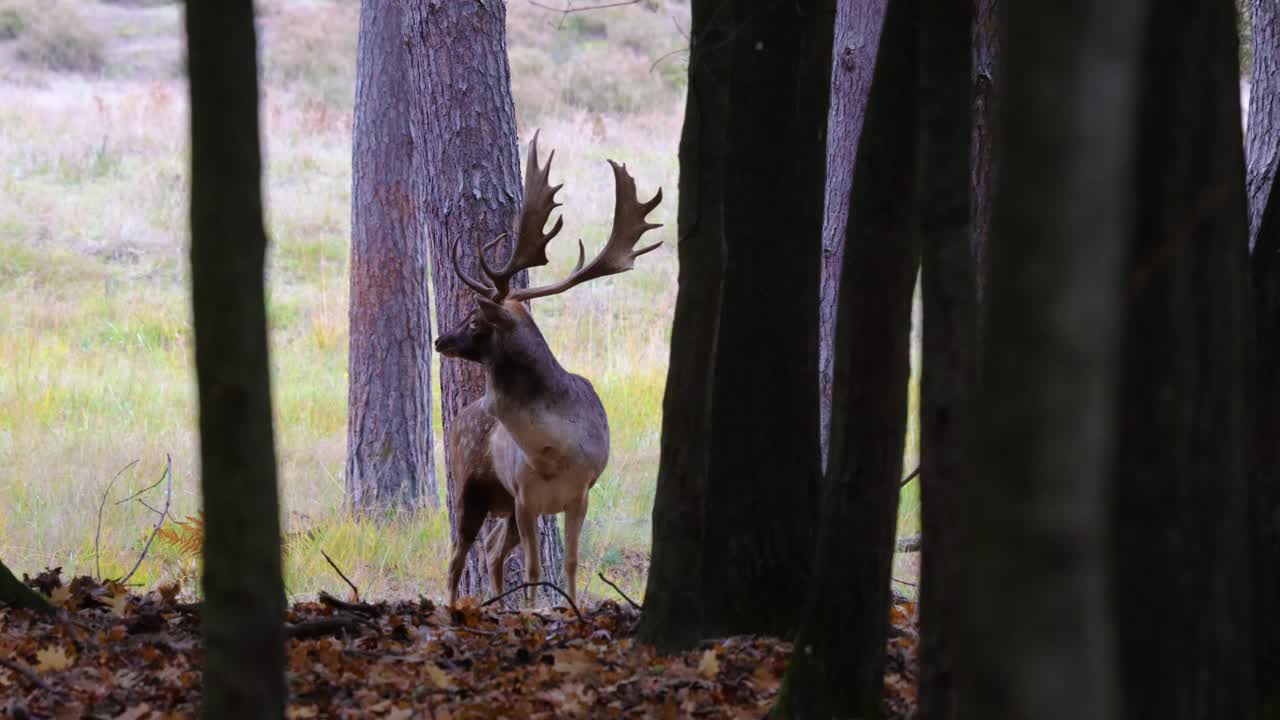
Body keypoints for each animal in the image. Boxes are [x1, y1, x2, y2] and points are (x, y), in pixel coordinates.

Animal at [435, 133, 665, 604]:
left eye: (475, 321)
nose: (439, 340)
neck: (554, 452)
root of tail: (462, 416)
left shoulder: (581, 492)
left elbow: (571, 563)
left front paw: (568, 608)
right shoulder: (525, 495)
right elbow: (535, 567)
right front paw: (531, 611)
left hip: (500, 502)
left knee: (490, 550)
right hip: (470, 483)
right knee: (458, 556)